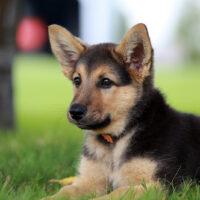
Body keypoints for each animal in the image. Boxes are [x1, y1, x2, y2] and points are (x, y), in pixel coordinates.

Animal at [46, 23, 200, 200]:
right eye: (77, 80)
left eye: (106, 82)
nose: (74, 112)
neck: (116, 138)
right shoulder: (88, 181)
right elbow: (65, 191)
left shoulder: (164, 185)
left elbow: (116, 193)